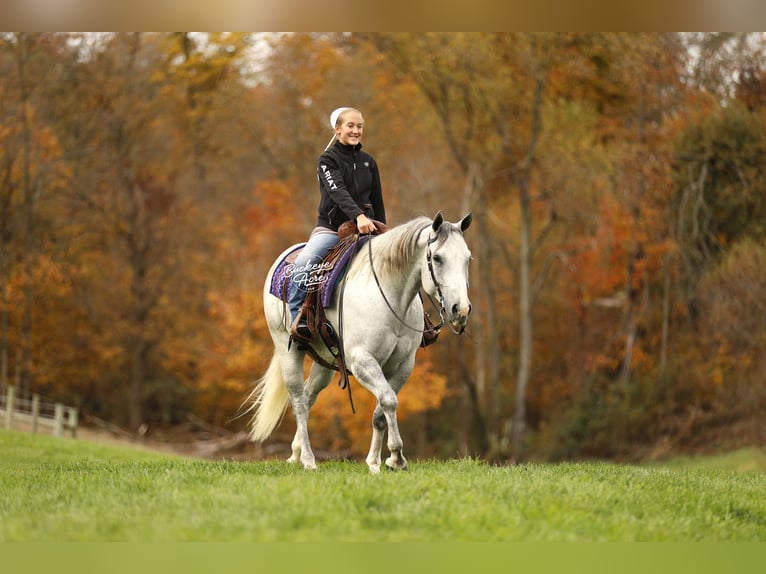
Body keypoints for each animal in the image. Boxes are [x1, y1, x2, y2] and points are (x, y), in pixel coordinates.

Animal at [243, 211, 473, 473]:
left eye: (467, 259)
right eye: (437, 258)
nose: (461, 309)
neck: (389, 295)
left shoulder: (403, 365)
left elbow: (380, 411)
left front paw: (375, 462)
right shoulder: (362, 360)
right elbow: (389, 401)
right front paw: (396, 457)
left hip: (324, 362)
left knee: (309, 395)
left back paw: (296, 454)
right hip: (287, 350)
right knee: (299, 401)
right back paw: (309, 460)